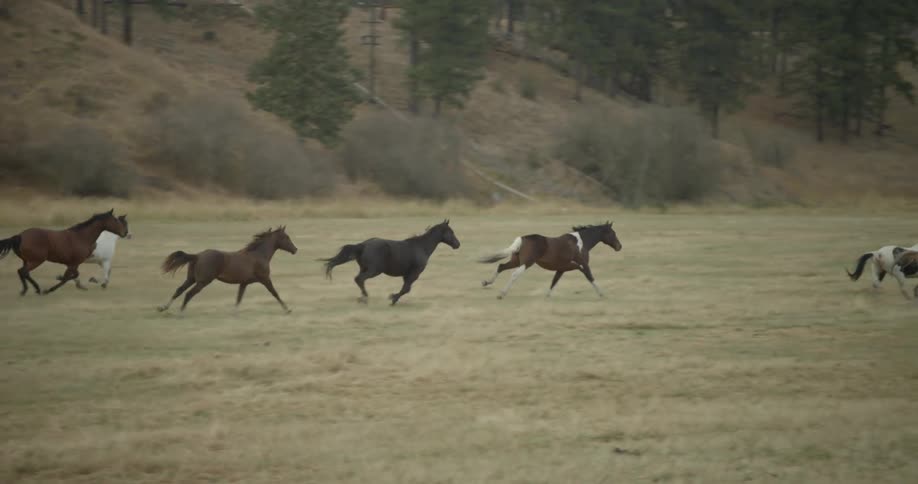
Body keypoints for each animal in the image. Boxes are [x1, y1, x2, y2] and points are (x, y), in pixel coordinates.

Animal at [0, 209, 128, 295]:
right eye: (116, 221)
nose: (125, 233)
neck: (82, 237)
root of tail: (19, 236)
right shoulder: (74, 263)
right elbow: (68, 277)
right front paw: (49, 290)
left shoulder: (73, 263)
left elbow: (72, 275)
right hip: (36, 260)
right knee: (23, 271)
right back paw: (33, 289)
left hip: (27, 260)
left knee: (23, 272)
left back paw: (31, 289)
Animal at [156, 226, 297, 313]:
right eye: (286, 237)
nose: (295, 250)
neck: (258, 255)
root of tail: (198, 256)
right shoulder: (265, 279)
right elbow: (275, 293)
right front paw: (287, 309)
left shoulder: (244, 283)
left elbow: (238, 298)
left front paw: (234, 313)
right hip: (203, 281)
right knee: (188, 294)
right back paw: (181, 312)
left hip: (191, 279)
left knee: (179, 290)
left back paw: (163, 308)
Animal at [320, 219, 461, 305]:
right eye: (451, 232)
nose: (457, 244)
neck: (421, 247)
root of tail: (363, 245)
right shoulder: (414, 273)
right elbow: (406, 289)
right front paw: (392, 299)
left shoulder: (407, 275)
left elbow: (406, 288)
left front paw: (392, 297)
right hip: (374, 270)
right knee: (359, 279)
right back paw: (365, 298)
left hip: (365, 268)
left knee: (358, 279)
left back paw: (362, 298)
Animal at [479, 221, 622, 299]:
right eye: (612, 233)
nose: (619, 247)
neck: (581, 243)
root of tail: (523, 239)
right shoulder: (582, 265)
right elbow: (591, 278)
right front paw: (602, 294)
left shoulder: (561, 269)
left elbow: (554, 282)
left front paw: (547, 297)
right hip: (526, 263)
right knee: (514, 274)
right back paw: (502, 294)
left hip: (516, 261)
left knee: (501, 266)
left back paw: (487, 282)